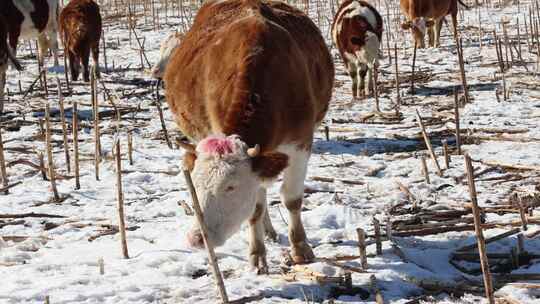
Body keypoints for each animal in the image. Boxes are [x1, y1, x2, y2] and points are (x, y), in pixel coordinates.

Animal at [162, 0, 336, 270]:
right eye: (195, 185)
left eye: (231, 187)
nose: (197, 239)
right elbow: (255, 207)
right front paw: (257, 254)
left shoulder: (300, 143)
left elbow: (292, 199)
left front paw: (300, 248)